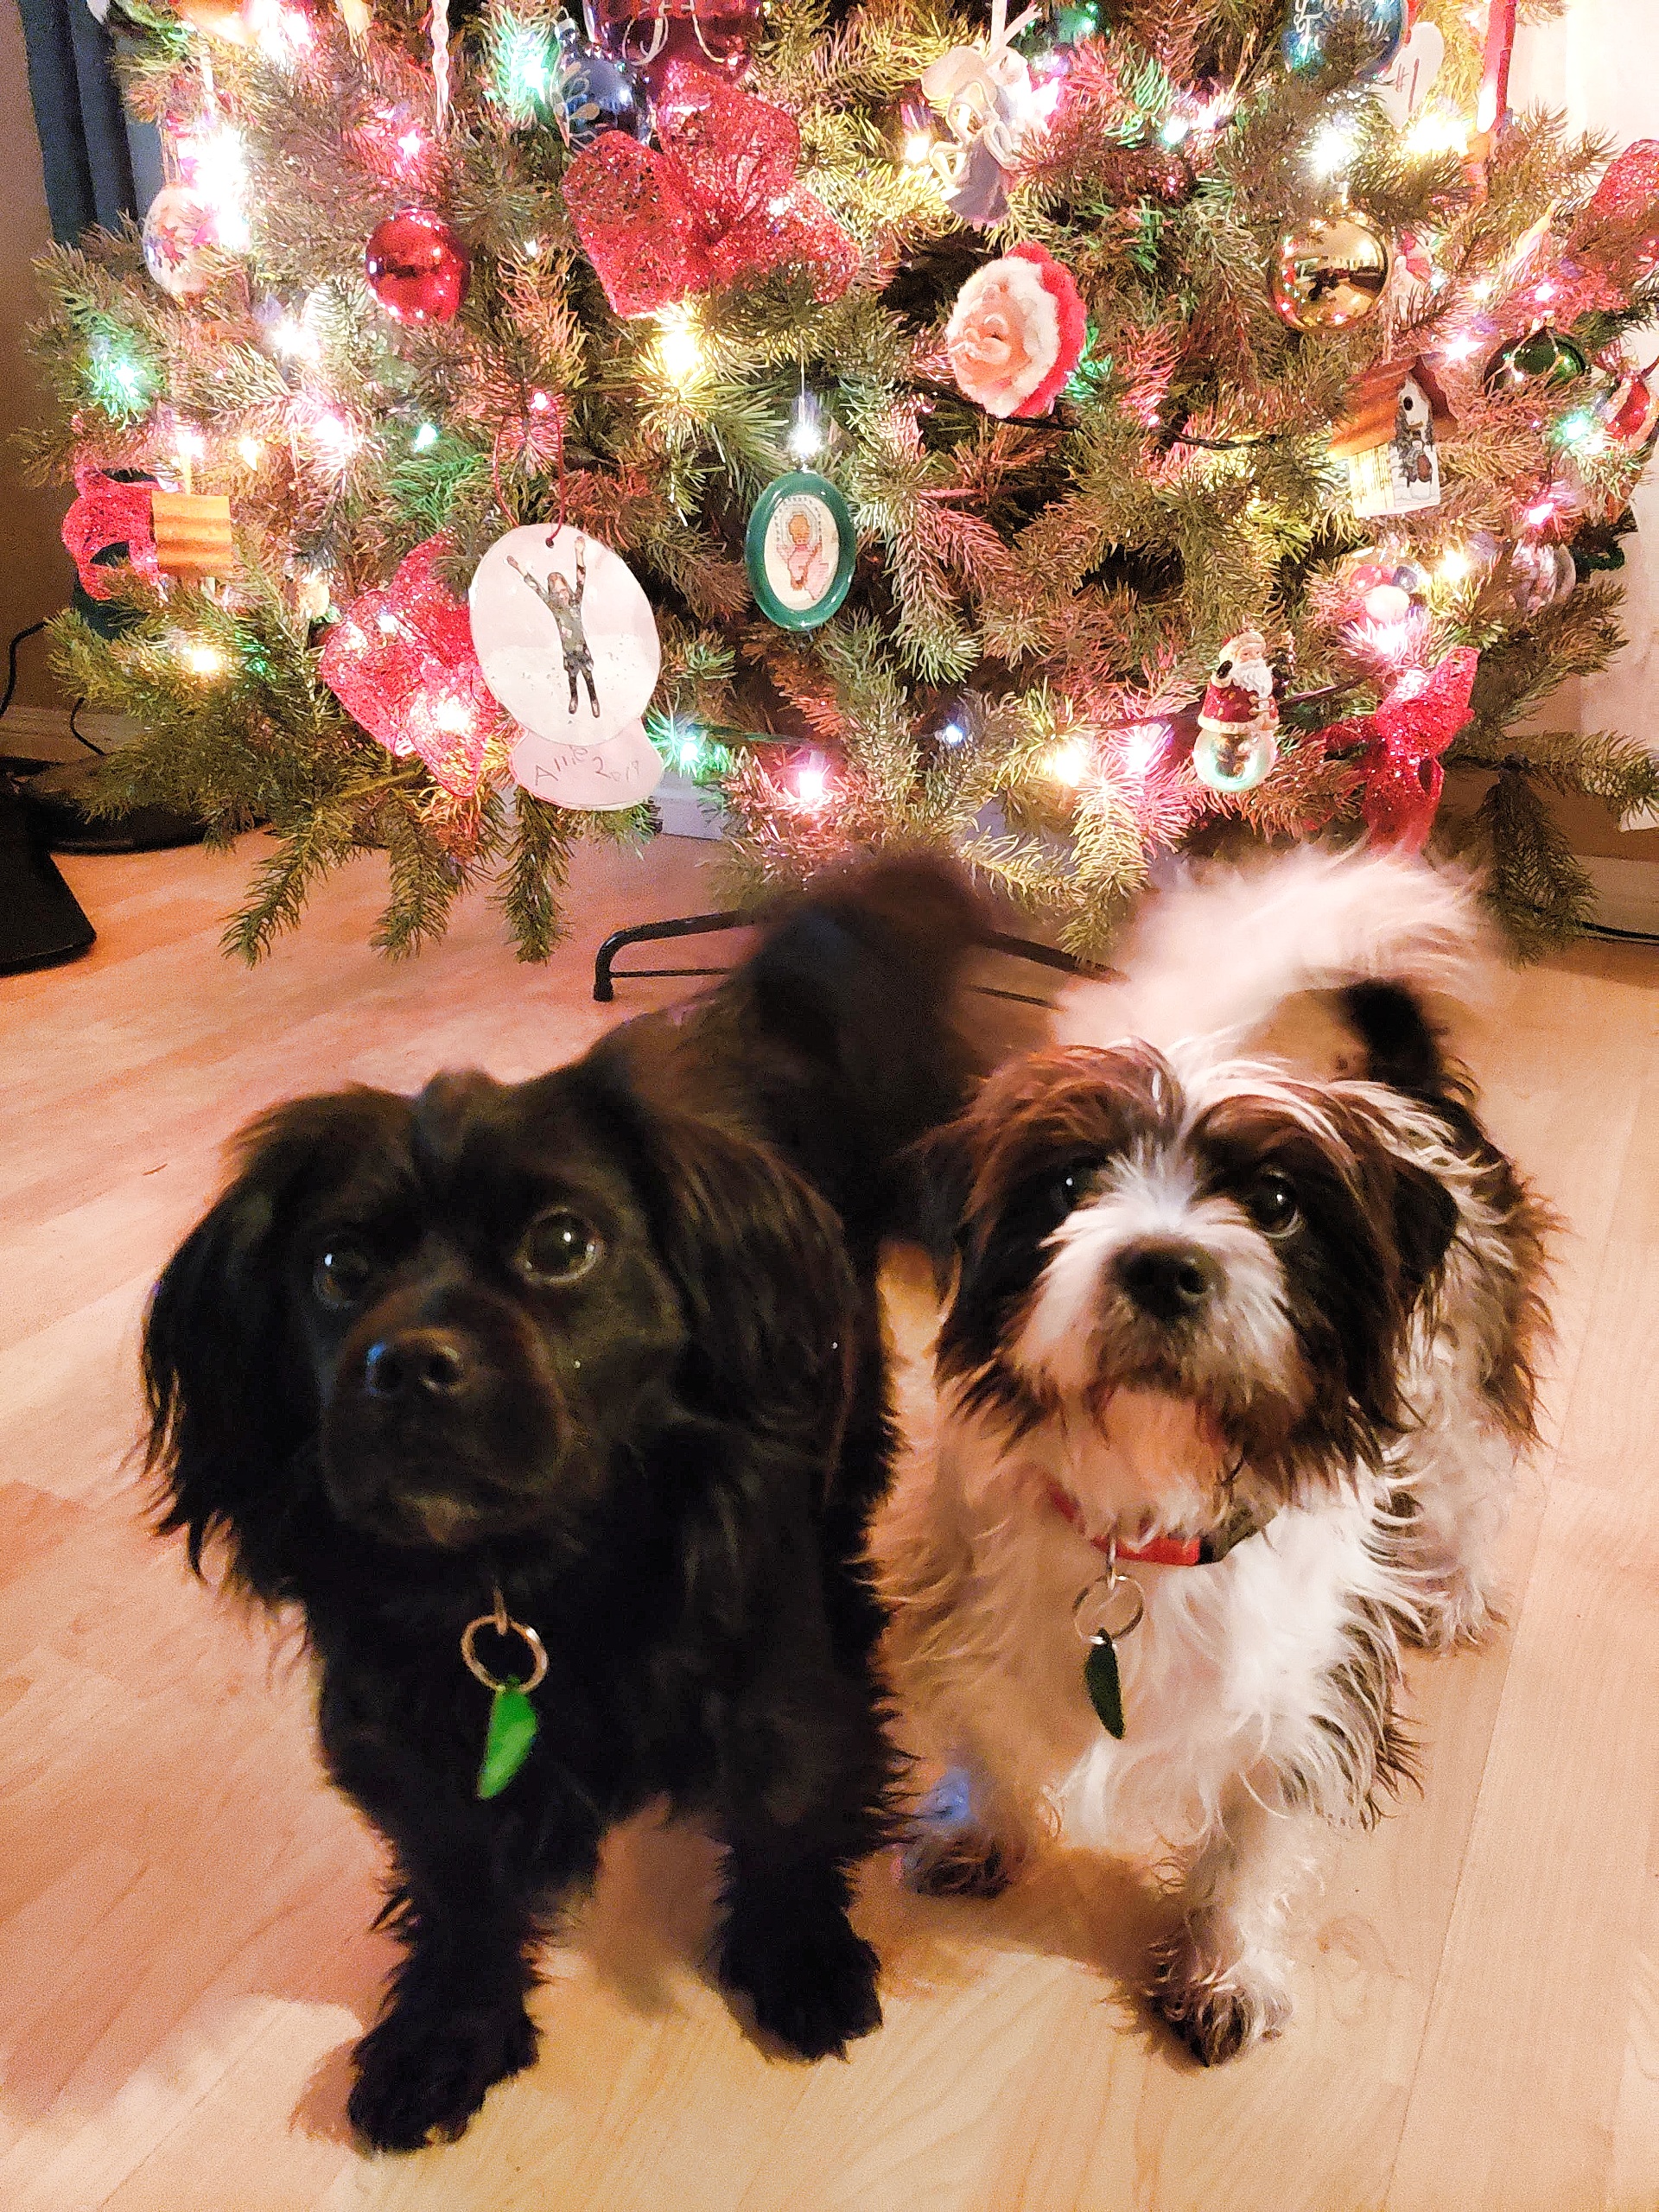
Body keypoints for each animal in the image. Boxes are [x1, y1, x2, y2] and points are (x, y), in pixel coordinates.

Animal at [145, 854, 986, 2150]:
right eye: (337, 1267)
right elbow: (458, 1890)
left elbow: (789, 1805)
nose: (404, 1363)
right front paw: (445, 2035)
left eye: (563, 1244)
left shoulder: (768, 1673)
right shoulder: (411, 1738)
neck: (525, 1570)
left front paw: (799, 1959)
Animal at [875, 854, 1557, 2061]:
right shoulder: (971, 1601)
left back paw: (1459, 1587)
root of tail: (1409, 1091)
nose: (1161, 1263)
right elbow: (991, 1727)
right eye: (1068, 1186)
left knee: (1474, 1486)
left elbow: (1255, 1832)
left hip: (1462, 1386)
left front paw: (1225, 1961)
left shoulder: (1313, 1684)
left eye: (1277, 1203)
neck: (1148, 1508)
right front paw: (984, 1824)